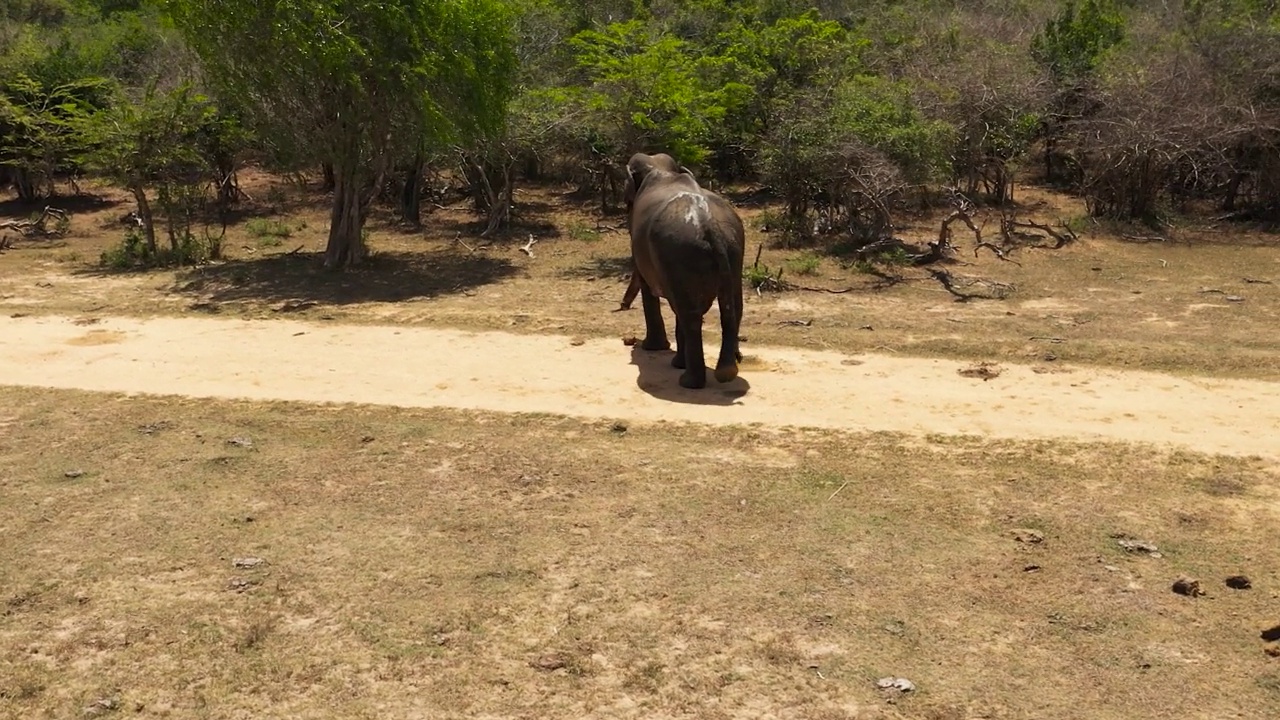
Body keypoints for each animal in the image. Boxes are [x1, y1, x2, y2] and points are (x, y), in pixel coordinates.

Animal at [624, 150, 747, 386]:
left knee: (687, 312)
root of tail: (710, 225)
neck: (659, 167)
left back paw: (688, 380)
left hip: (678, 252)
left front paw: (652, 348)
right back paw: (727, 371)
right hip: (732, 249)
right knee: (731, 305)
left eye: (627, 203)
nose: (623, 305)